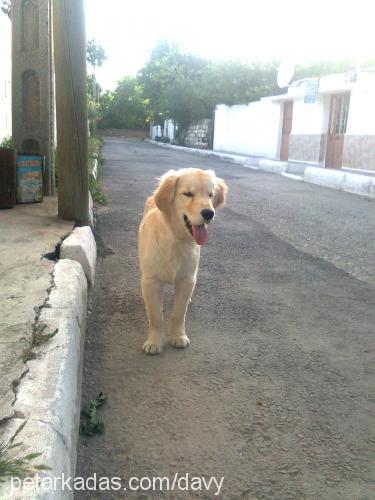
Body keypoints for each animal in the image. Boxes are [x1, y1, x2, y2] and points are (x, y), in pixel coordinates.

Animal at [137, 169, 226, 356]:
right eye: (188, 194)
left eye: (210, 195)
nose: (209, 213)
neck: (175, 239)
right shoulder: (150, 280)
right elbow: (156, 316)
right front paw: (154, 342)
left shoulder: (187, 279)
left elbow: (179, 313)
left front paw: (178, 337)